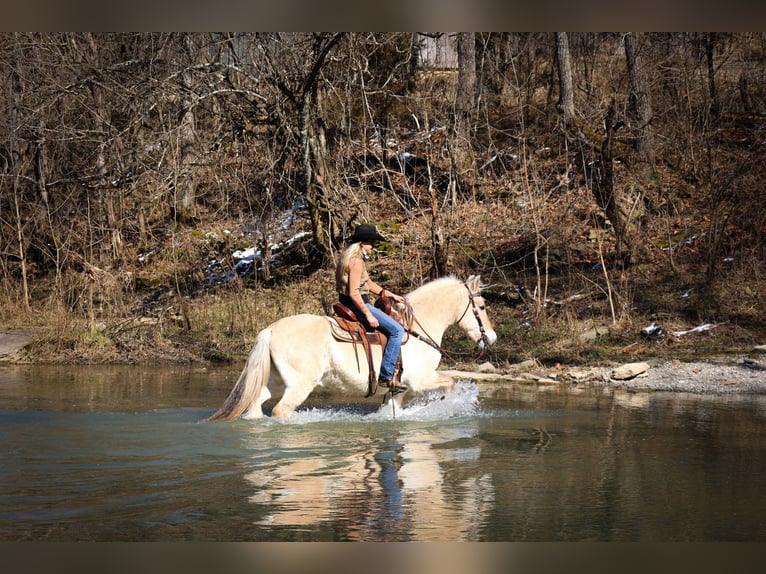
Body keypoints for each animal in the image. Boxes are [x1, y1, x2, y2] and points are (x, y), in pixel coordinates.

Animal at [204, 276, 498, 424]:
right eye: (482, 307)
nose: (492, 338)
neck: (416, 328)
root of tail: (271, 329)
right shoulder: (422, 379)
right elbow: (451, 384)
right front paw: (446, 406)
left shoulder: (400, 389)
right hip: (298, 387)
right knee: (280, 411)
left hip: (275, 383)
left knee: (255, 404)